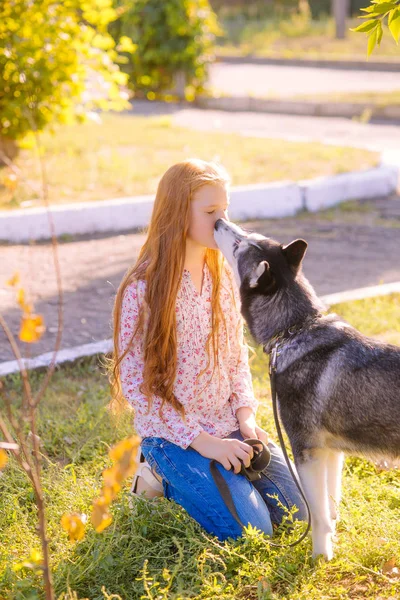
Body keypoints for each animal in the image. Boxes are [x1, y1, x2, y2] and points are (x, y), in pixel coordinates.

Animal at [214, 218, 400, 560]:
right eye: (245, 237)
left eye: (238, 245)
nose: (219, 220)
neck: (295, 329)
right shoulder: (330, 452)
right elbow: (331, 506)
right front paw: (332, 544)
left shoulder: (305, 450)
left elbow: (318, 514)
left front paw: (319, 558)